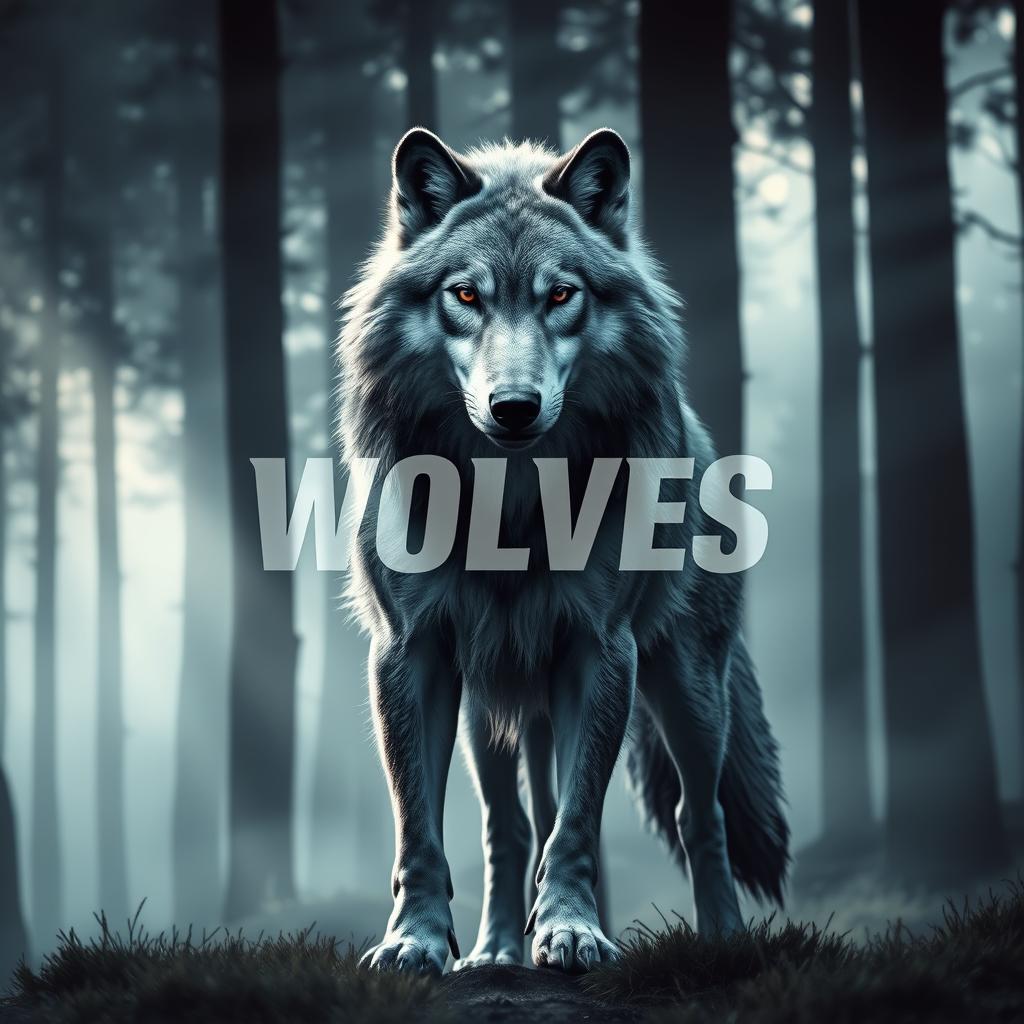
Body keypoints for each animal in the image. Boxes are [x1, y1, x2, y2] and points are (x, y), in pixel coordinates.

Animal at [336, 126, 789, 975]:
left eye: (559, 295)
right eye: (466, 296)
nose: (513, 407)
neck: (509, 500)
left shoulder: (600, 648)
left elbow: (578, 821)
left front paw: (573, 932)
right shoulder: (412, 651)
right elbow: (420, 827)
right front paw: (415, 942)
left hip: (688, 690)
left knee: (698, 813)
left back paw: (722, 942)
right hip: (494, 709)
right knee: (512, 826)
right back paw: (494, 954)